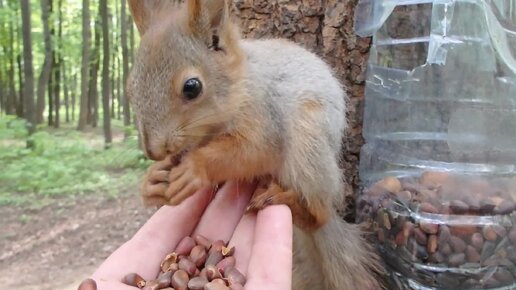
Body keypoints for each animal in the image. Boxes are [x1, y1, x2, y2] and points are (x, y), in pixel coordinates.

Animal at [126, 1, 380, 288]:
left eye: (192, 87)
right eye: (130, 87)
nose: (154, 151)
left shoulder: (266, 117)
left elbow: (257, 152)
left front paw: (193, 168)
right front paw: (152, 180)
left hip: (309, 145)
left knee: (319, 214)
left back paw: (285, 200)